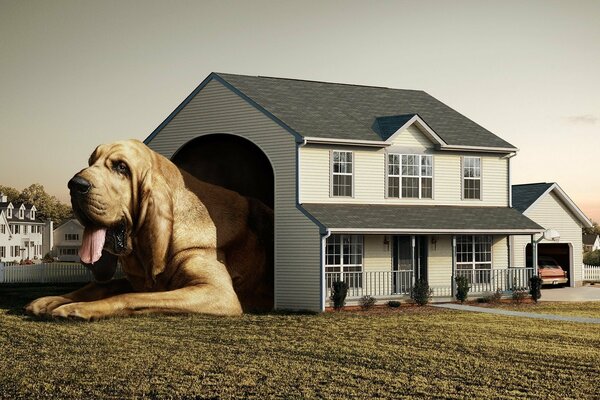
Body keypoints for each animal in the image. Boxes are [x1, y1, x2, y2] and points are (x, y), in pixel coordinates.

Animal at [25, 139, 274, 320]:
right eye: (91, 162)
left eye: (121, 167)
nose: (75, 185)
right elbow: (99, 285)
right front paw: (52, 300)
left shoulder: (218, 292)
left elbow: (130, 296)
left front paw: (78, 308)